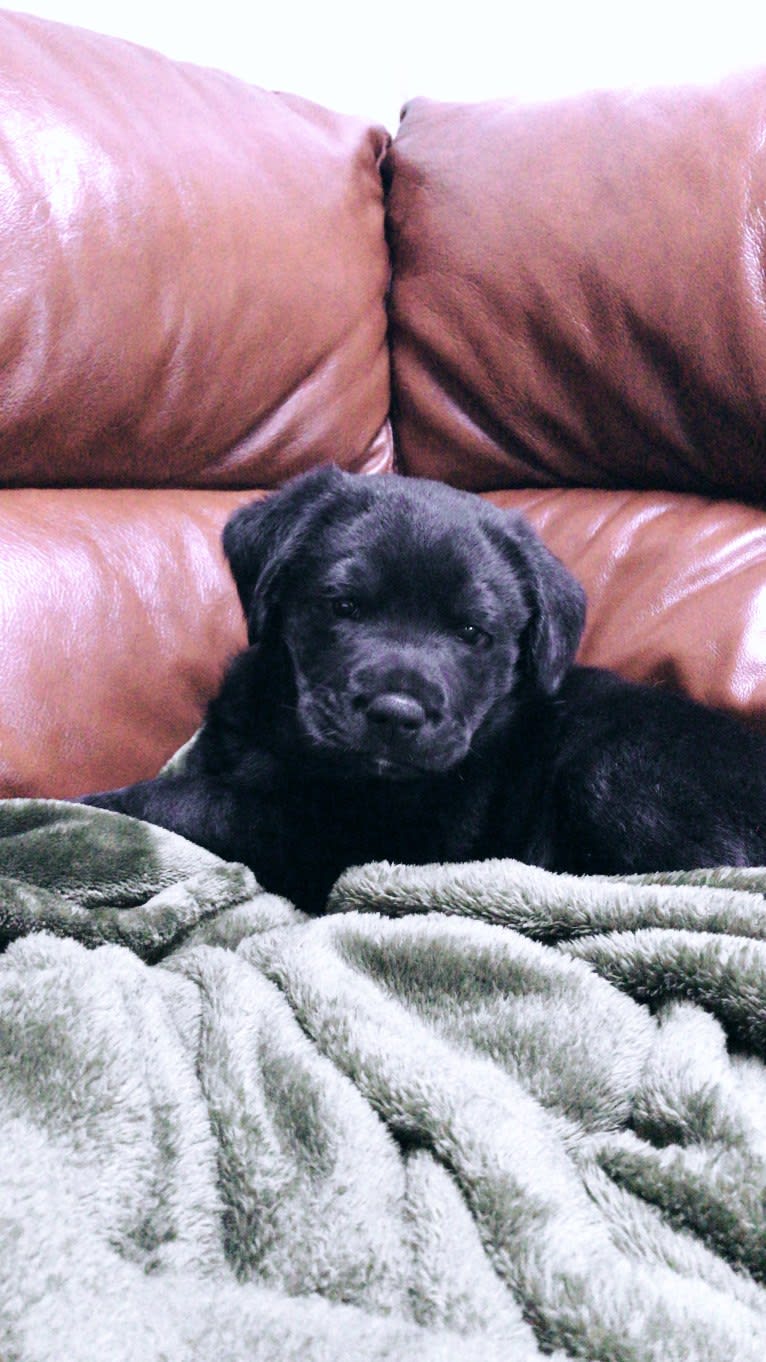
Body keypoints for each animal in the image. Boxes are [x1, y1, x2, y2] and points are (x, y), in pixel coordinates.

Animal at [80, 471, 763, 915]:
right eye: (344, 606)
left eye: (472, 633)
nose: (396, 714)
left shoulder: (358, 839)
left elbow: (199, 804)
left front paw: (90, 805)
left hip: (617, 769)